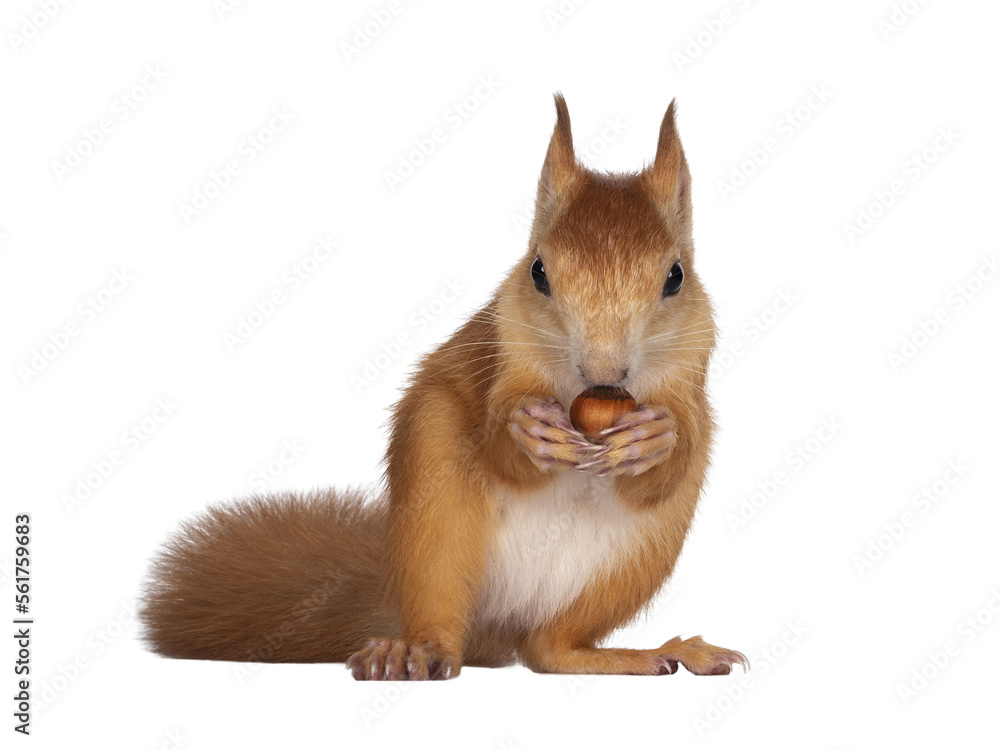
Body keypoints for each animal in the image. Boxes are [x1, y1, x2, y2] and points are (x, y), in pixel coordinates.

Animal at [138, 94, 748, 680]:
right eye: (538, 272)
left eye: (675, 277)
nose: (605, 372)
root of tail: (499, 624)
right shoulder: (501, 353)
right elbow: (502, 441)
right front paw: (528, 429)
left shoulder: (691, 375)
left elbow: (669, 462)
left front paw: (655, 436)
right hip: (435, 514)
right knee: (451, 629)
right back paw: (408, 653)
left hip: (639, 557)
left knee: (551, 650)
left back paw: (651, 653)